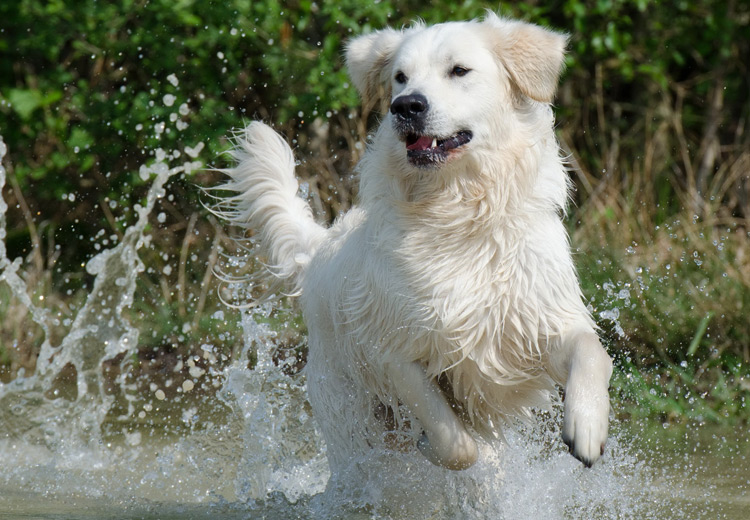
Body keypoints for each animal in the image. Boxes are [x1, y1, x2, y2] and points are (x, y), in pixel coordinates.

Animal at [216, 14, 612, 474]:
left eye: (459, 70)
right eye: (400, 78)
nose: (406, 106)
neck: (458, 212)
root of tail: (320, 249)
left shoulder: (542, 319)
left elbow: (592, 351)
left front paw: (586, 426)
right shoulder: (393, 351)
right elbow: (455, 443)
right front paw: (435, 445)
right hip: (349, 422)